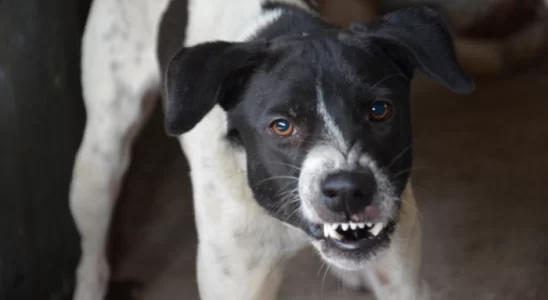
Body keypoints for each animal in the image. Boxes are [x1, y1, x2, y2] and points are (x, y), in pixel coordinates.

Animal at [70, 0, 476, 298]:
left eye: (380, 110)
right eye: (281, 126)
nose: (347, 190)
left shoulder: (402, 280)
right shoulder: (237, 281)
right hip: (100, 157)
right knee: (92, 253)